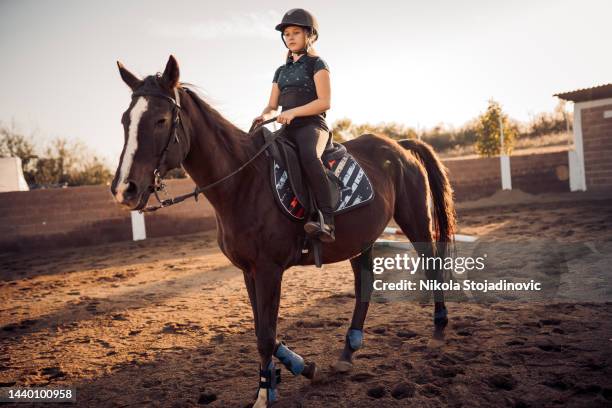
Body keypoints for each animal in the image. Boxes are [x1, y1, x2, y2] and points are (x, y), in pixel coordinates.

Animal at [111, 55, 454, 406]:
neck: (244, 181)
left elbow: (266, 336)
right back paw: (347, 354)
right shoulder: (248, 271)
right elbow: (263, 330)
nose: (125, 189)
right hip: (361, 240)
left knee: (432, 267)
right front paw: (299, 369)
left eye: (161, 120)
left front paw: (266, 392)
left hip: (415, 220)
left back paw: (439, 330)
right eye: (125, 120)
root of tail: (399, 147)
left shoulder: (268, 270)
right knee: (364, 289)